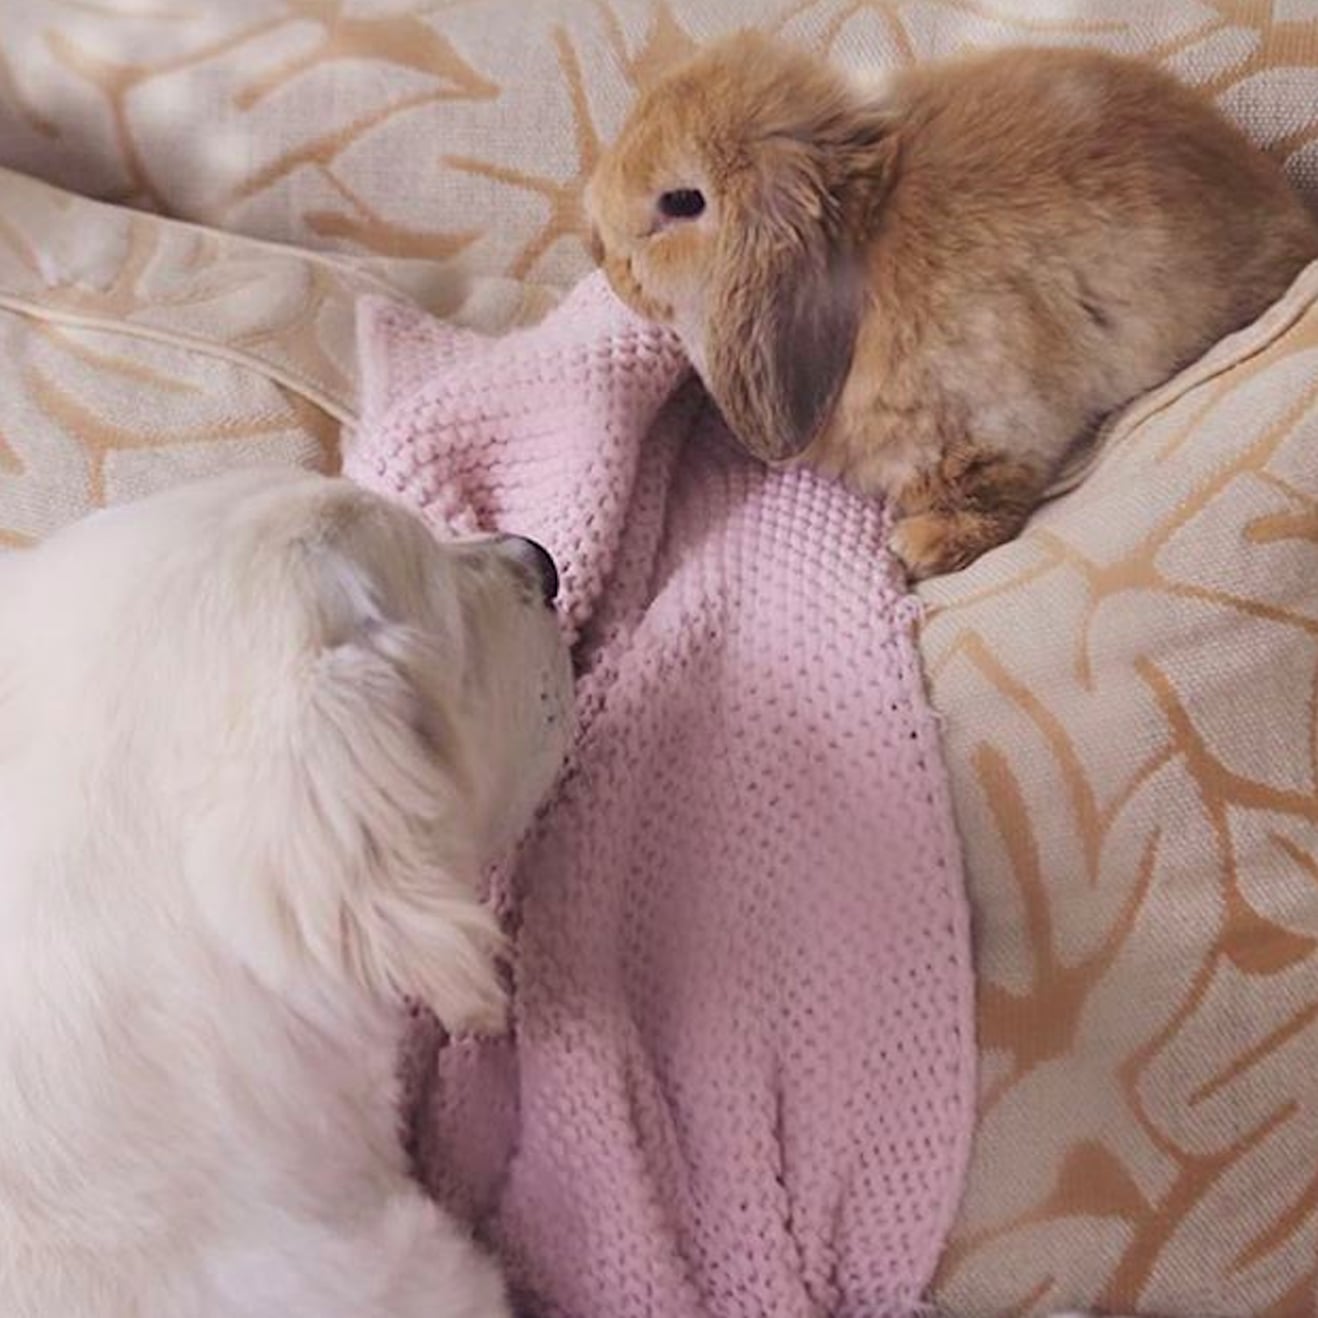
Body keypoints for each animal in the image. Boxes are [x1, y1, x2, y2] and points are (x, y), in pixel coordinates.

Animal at [584, 33, 1318, 578]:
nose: (599, 250)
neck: (862, 239)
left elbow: (986, 489)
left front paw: (921, 549)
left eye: (682, 201)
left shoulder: (994, 416)